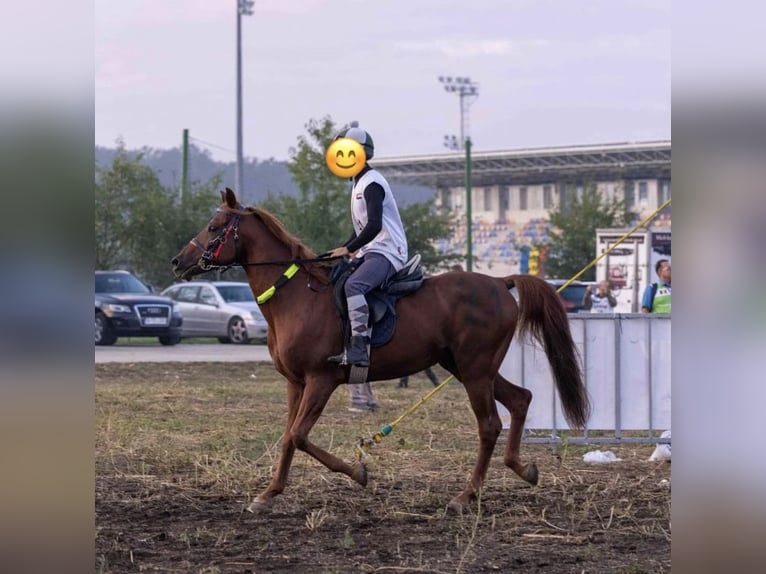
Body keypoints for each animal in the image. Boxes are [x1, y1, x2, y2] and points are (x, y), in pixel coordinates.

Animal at [171, 188, 591, 514]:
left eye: (214, 227)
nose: (178, 262)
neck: (296, 297)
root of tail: (500, 283)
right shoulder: (296, 383)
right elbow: (289, 436)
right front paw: (268, 494)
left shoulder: (321, 381)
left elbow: (300, 436)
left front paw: (358, 472)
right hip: (467, 367)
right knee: (520, 399)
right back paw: (522, 468)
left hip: (474, 370)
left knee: (489, 425)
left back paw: (465, 496)